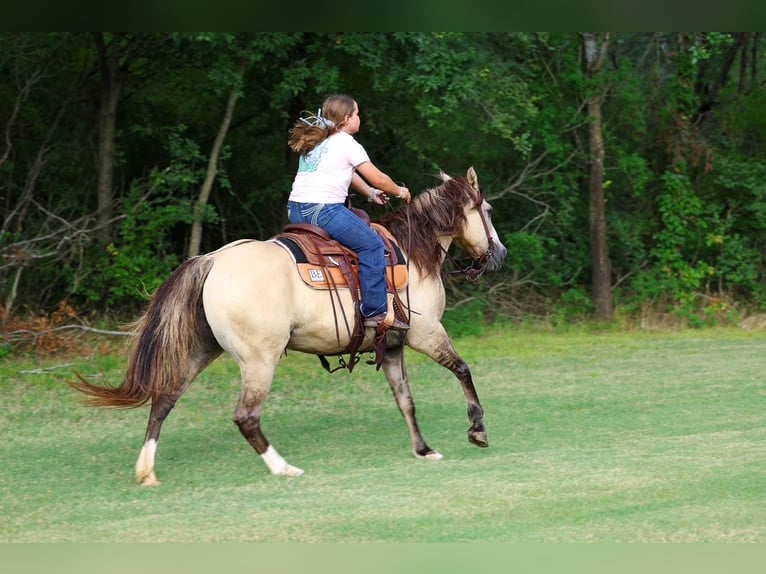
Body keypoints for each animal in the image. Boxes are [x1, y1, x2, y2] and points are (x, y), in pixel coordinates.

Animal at [71, 167, 507, 485]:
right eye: (487, 212)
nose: (500, 254)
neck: (411, 253)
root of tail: (211, 260)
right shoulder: (426, 333)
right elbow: (463, 370)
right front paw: (478, 429)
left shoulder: (394, 346)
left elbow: (406, 400)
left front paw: (424, 450)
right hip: (259, 361)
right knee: (246, 416)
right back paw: (283, 468)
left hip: (200, 350)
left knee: (164, 400)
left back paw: (147, 471)